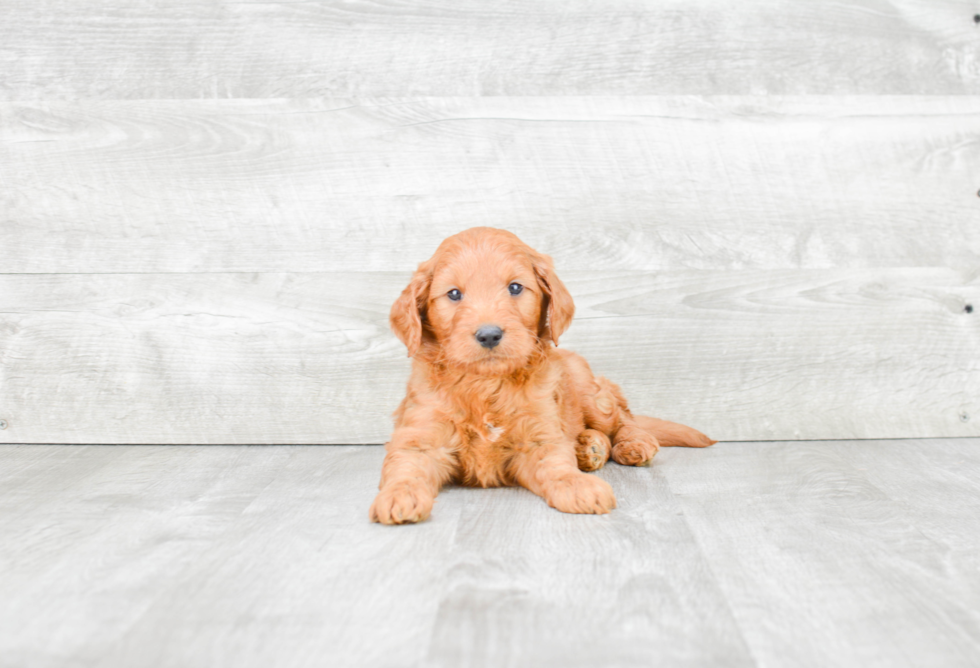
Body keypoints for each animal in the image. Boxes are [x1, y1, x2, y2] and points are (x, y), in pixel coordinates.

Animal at [368, 227, 712, 524]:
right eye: (453, 294)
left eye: (515, 287)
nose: (489, 335)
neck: (486, 384)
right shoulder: (421, 436)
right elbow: (405, 467)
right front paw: (398, 496)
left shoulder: (539, 436)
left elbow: (557, 464)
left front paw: (577, 485)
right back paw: (590, 448)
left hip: (591, 394)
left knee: (623, 418)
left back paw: (631, 444)